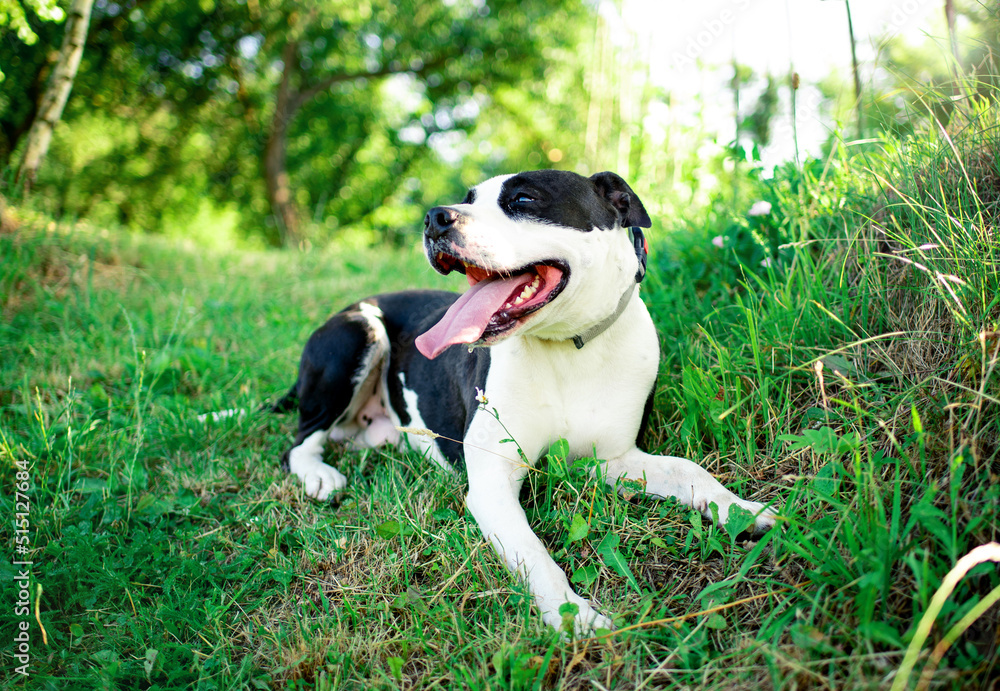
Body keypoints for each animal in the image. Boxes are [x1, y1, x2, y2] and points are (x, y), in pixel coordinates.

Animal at [274, 169, 772, 632]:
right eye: (468, 198)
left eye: (524, 200)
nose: (435, 218)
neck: (568, 347)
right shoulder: (494, 484)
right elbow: (535, 554)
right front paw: (576, 617)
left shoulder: (611, 459)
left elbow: (689, 470)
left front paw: (745, 510)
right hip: (356, 334)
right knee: (300, 441)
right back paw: (319, 475)